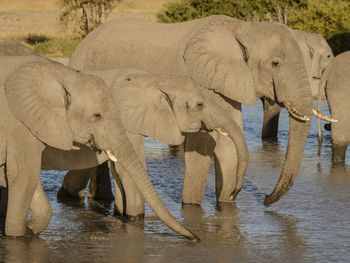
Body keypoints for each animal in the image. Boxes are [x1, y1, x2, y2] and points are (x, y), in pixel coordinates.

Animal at [0, 56, 197, 241]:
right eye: (97, 116)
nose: (195, 238)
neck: (62, 75)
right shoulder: (20, 124)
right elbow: (24, 174)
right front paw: (18, 236)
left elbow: (15, 175)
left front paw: (29, 229)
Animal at [57, 68, 249, 219]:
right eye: (200, 105)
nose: (233, 194)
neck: (158, 81)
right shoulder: (125, 120)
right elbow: (130, 168)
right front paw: (135, 218)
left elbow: (121, 169)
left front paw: (122, 215)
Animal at [67, 14, 320, 208]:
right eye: (275, 63)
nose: (265, 200)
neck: (242, 27)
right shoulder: (199, 80)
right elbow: (203, 143)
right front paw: (191, 206)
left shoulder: (226, 82)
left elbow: (229, 142)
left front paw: (226, 204)